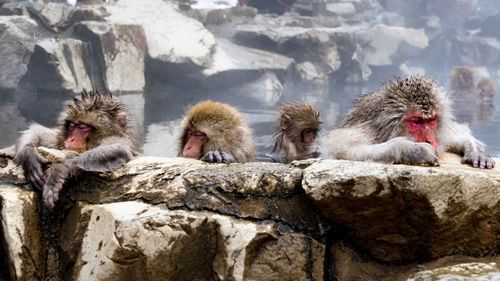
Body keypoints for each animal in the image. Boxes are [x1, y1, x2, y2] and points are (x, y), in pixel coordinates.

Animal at [322, 74, 494, 170]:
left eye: (431, 121)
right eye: (417, 122)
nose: (430, 140)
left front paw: (474, 149)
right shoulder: (370, 130)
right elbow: (341, 148)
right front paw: (411, 149)